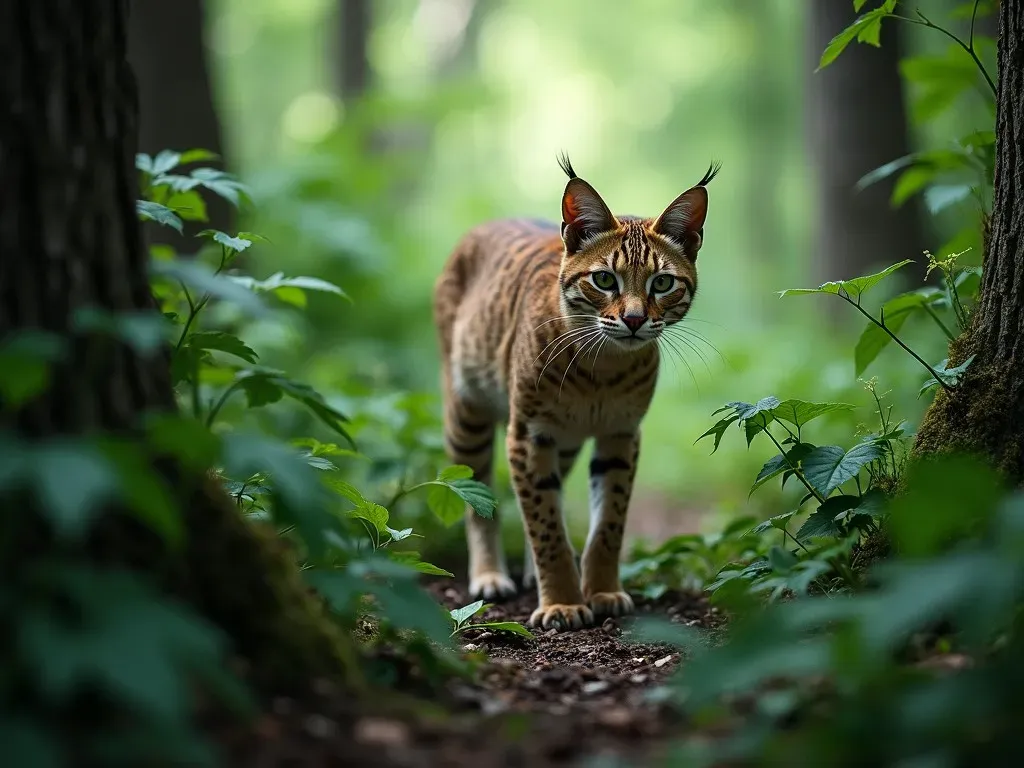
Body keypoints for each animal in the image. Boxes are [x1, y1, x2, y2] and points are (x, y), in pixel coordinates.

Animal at [434, 156, 720, 630]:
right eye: (604, 280)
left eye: (662, 284)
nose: (635, 321)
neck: (603, 365)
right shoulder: (527, 432)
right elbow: (543, 523)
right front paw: (563, 604)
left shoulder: (622, 432)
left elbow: (607, 524)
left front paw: (602, 592)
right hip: (466, 411)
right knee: (478, 495)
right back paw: (490, 575)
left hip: (562, 439)